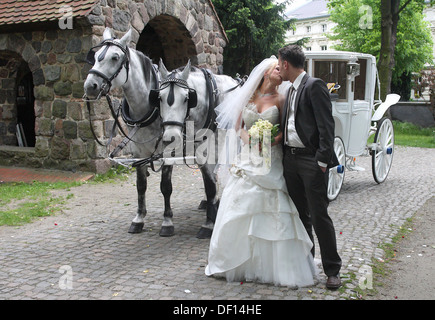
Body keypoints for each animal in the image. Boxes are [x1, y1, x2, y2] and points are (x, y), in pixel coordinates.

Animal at [152, 59, 242, 238]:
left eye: (187, 98)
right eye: (159, 98)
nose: (171, 137)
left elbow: (215, 184)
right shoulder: (202, 154)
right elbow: (210, 184)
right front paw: (210, 218)